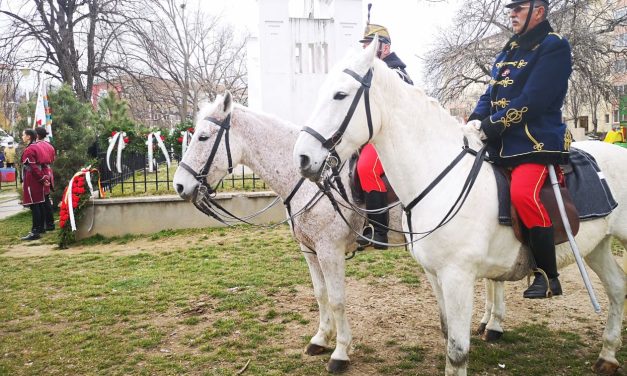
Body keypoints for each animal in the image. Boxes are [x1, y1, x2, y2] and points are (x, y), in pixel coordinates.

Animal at [173, 92, 402, 374]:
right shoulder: (310, 250)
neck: (310, 180)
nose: (179, 185)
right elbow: (320, 294)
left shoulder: (330, 251)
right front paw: (320, 339)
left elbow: (337, 299)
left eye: (203, 137)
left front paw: (340, 352)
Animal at [294, 39, 627, 374]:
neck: (441, 176)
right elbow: (447, 334)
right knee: (617, 286)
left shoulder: (458, 277)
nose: (303, 158)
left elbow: (457, 350)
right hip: (596, 246)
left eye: (340, 94)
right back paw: (607, 355)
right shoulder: (434, 274)